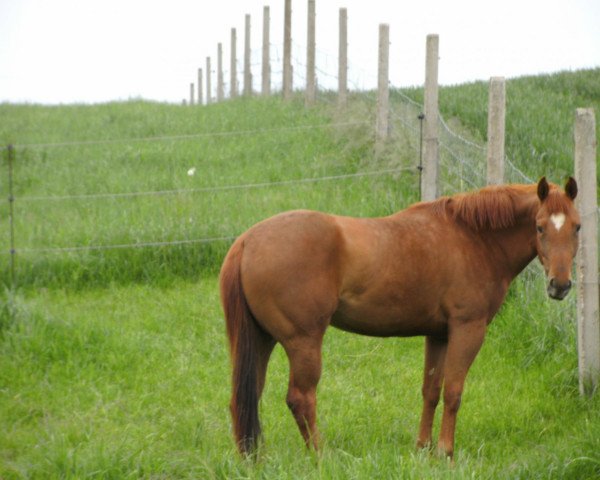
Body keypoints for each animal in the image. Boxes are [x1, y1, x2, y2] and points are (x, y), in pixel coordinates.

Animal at [218, 176, 580, 458]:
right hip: (302, 342)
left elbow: (431, 390)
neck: (473, 237)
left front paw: (423, 447)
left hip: (262, 339)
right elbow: (453, 391)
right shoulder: (467, 330)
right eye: (540, 227)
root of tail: (247, 241)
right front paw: (445, 451)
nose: (560, 285)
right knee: (300, 399)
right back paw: (320, 456)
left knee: (246, 398)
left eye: (577, 227)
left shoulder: (438, 335)